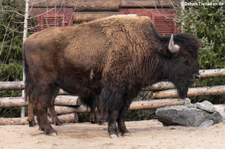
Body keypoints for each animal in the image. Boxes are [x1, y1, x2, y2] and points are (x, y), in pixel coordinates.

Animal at [23, 15, 201, 137]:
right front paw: (113, 132)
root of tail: (28, 41)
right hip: (45, 84)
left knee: (39, 103)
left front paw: (125, 131)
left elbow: (123, 111)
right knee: (41, 104)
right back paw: (50, 130)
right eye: (184, 58)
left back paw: (44, 128)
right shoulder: (116, 88)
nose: (196, 76)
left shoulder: (130, 90)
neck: (143, 47)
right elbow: (114, 110)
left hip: (50, 85)